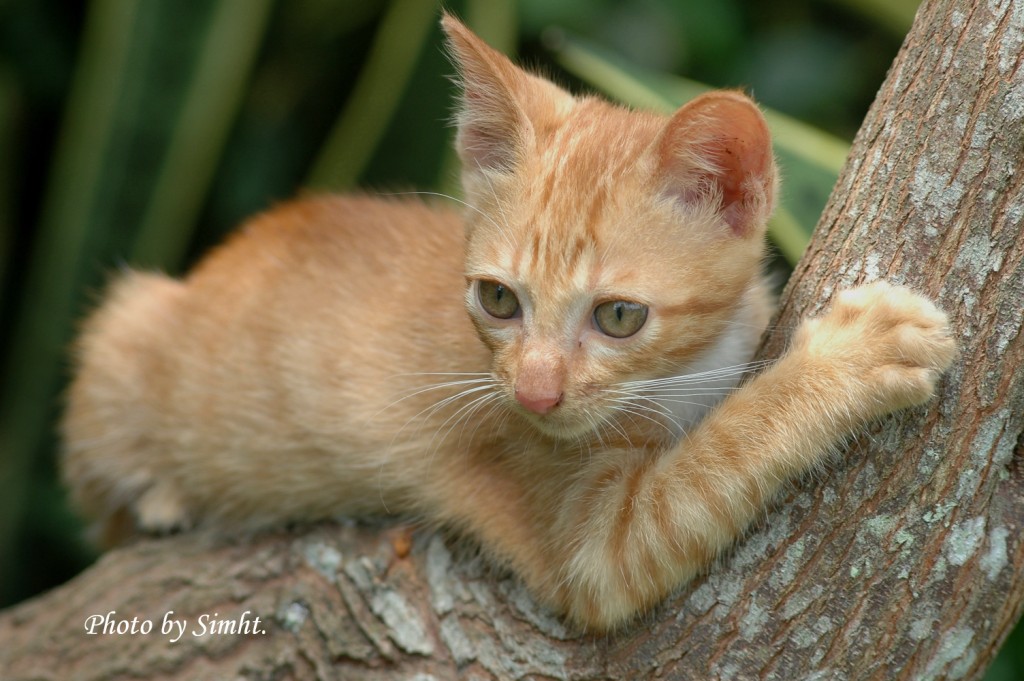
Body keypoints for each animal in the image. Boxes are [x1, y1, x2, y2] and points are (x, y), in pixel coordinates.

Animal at [61, 15, 958, 630]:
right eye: (499, 300)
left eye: (619, 315)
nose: (533, 396)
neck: (684, 376)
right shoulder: (591, 543)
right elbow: (716, 461)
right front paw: (850, 357)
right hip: (124, 329)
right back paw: (164, 493)